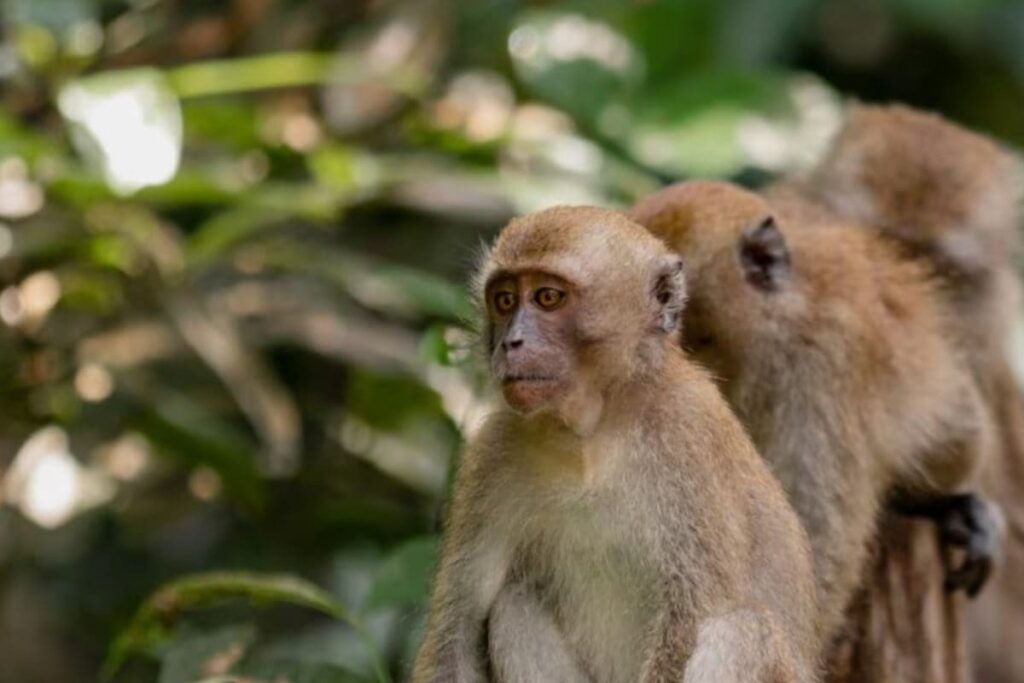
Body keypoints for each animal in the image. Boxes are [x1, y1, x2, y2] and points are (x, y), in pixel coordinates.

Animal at [411, 206, 819, 683]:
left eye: (548, 297)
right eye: (506, 300)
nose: (511, 343)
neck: (593, 433)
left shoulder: (690, 433)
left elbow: (690, 618)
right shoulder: (491, 454)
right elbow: (457, 634)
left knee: (743, 629)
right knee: (514, 605)